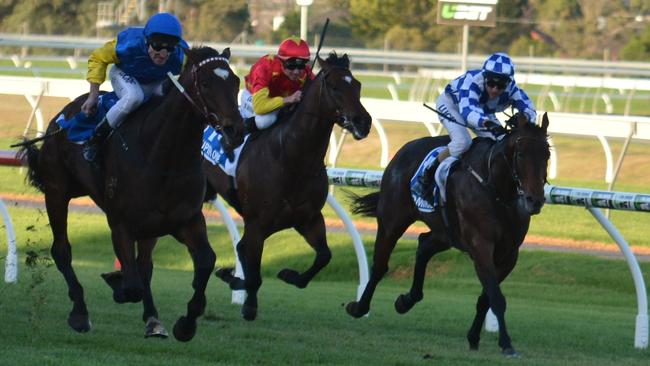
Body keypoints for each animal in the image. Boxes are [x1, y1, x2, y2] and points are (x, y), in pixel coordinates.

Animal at [20, 47, 243, 342]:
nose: (235, 130)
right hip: (57, 191)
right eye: (205, 83)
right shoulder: (121, 223)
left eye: (236, 82)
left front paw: (186, 324)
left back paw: (153, 319)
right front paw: (117, 284)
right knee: (62, 250)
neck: (163, 156)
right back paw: (80, 312)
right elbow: (132, 285)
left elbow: (205, 261)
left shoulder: (185, 220)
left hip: (150, 225)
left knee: (145, 264)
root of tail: (63, 117)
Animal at [205, 51, 372, 320]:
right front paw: (248, 304)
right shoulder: (258, 223)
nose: (363, 122)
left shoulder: (309, 218)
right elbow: (252, 265)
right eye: (335, 87)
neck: (292, 158)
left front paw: (289, 275)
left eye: (357, 85)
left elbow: (324, 256)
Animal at [344, 113, 548, 354]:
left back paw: (406, 300)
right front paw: (506, 343)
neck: (497, 190)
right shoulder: (480, 246)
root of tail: (404, 150)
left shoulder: (509, 254)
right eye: (521, 154)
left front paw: (474, 337)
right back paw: (359, 307)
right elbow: (496, 297)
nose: (534, 200)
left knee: (423, 245)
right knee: (380, 265)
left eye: (547, 154)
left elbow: (487, 297)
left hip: (446, 233)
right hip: (392, 221)